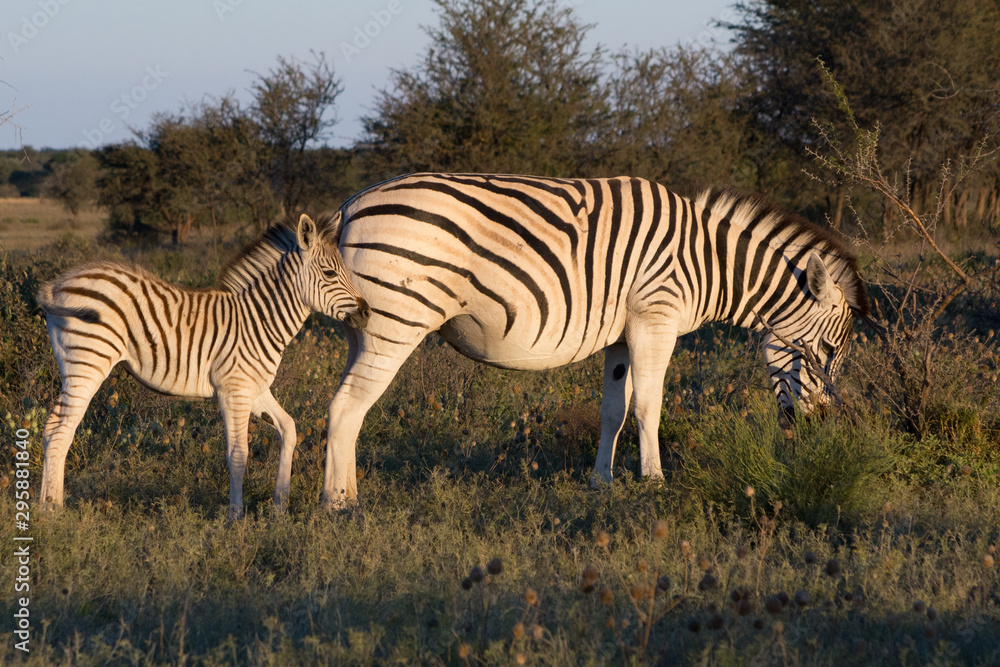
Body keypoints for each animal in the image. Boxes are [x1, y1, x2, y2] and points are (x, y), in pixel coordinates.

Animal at [37, 214, 371, 517]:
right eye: (329, 273)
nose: (367, 312)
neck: (258, 320)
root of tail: (57, 284)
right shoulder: (233, 390)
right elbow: (238, 454)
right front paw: (235, 515)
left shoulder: (253, 389)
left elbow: (288, 428)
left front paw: (280, 505)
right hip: (87, 363)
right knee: (60, 429)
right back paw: (53, 509)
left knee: (53, 428)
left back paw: (45, 505)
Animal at [319, 173, 869, 509]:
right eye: (826, 352)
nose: (819, 429)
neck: (707, 262)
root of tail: (348, 207)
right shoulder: (655, 318)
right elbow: (648, 405)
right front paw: (654, 482)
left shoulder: (622, 336)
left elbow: (614, 409)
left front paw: (601, 483)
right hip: (397, 321)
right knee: (347, 407)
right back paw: (340, 505)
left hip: (362, 329)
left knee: (347, 407)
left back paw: (347, 493)